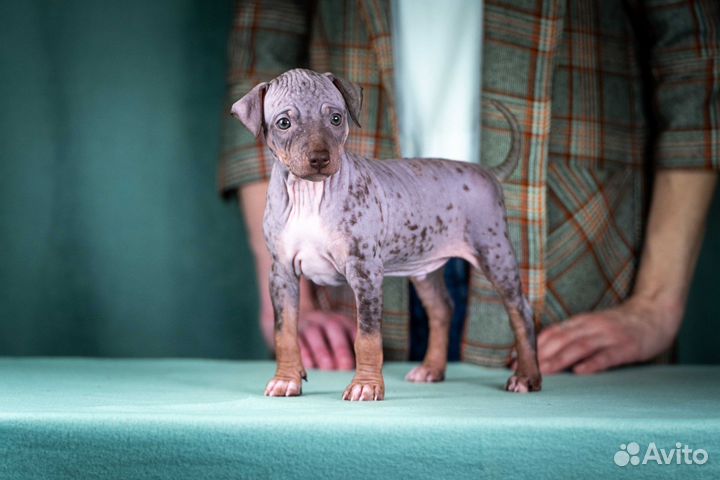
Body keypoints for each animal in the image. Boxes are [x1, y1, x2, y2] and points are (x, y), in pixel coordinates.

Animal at [232, 66, 540, 398]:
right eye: (284, 123)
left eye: (336, 118)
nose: (320, 159)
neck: (310, 195)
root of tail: (486, 172)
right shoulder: (282, 272)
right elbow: (285, 331)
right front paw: (286, 379)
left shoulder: (364, 272)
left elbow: (367, 336)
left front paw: (365, 386)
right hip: (424, 266)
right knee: (442, 310)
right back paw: (431, 369)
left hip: (494, 253)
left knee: (521, 311)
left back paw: (526, 376)